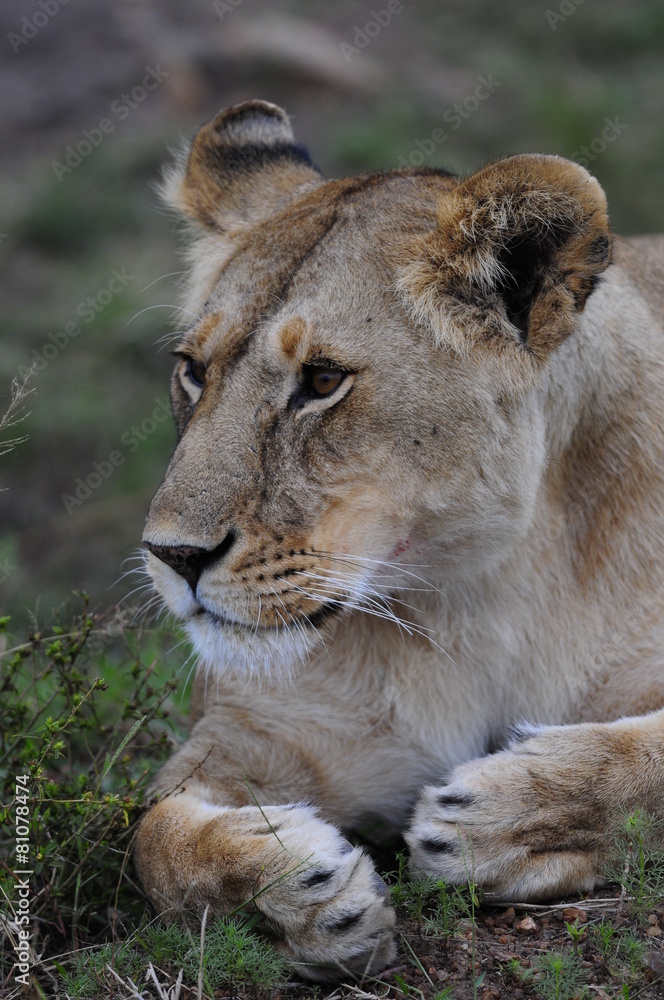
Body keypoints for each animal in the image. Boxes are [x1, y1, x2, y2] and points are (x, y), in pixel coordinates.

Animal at [135, 100, 664, 979]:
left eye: (321, 381)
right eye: (193, 370)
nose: (173, 555)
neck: (473, 594)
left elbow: (645, 759)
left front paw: (500, 818)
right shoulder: (257, 729)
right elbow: (152, 836)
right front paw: (303, 896)